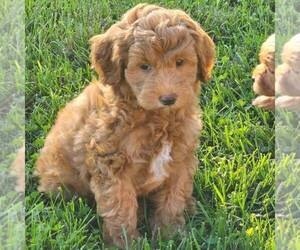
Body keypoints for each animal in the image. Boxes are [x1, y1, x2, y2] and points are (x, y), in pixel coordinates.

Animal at [35, 3, 214, 248]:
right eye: (144, 66)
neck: (157, 119)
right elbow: (120, 208)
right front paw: (127, 242)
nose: (168, 98)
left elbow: (173, 197)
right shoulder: (111, 166)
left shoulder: (180, 159)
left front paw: (171, 235)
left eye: (180, 63)